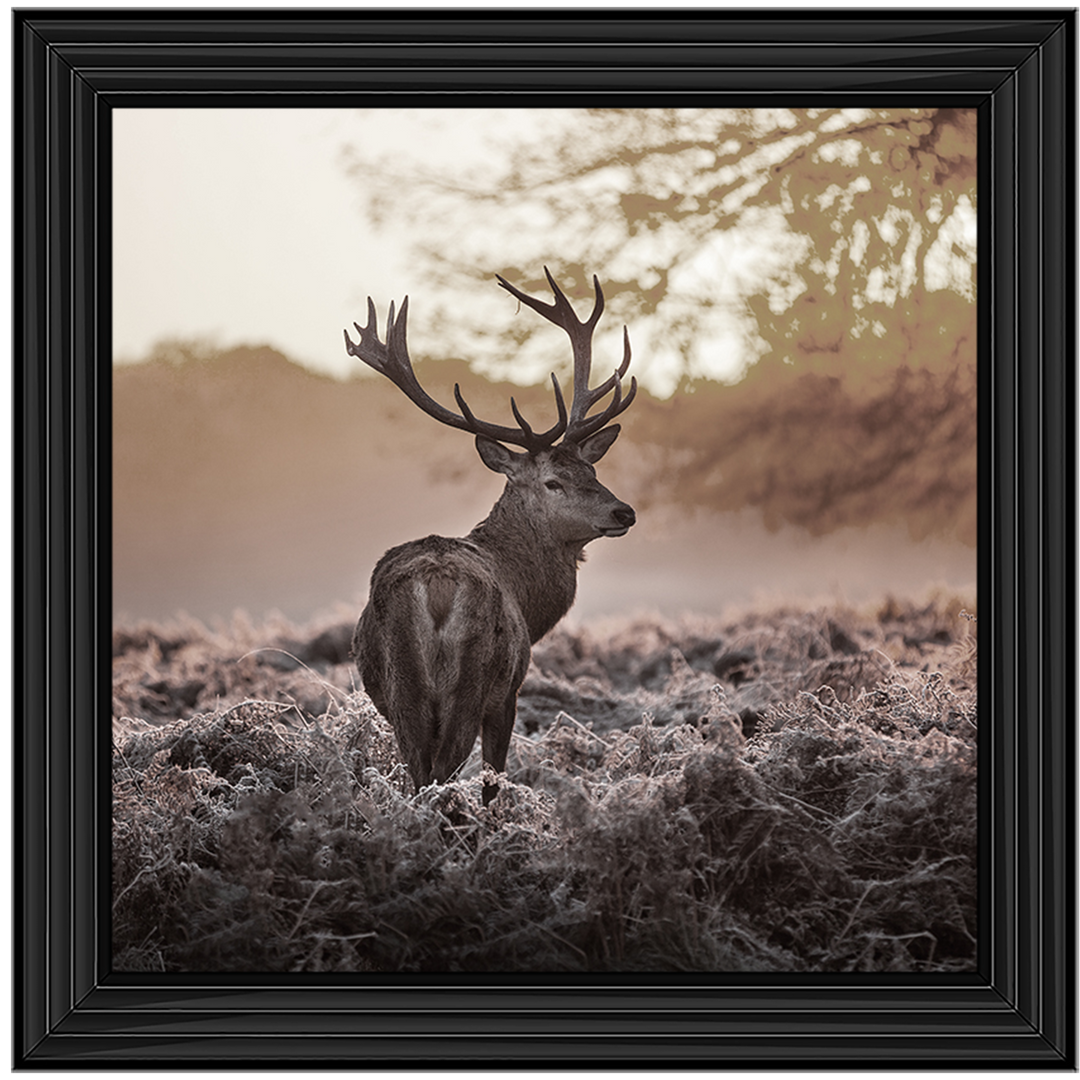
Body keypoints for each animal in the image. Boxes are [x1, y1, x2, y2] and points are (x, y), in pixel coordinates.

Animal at [345, 268, 637, 806]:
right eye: (553, 481)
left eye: (591, 469)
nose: (623, 511)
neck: (528, 597)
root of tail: (435, 586)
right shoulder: (509, 692)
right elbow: (493, 779)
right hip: (472, 680)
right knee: (443, 772)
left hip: (402, 689)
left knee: (419, 772)